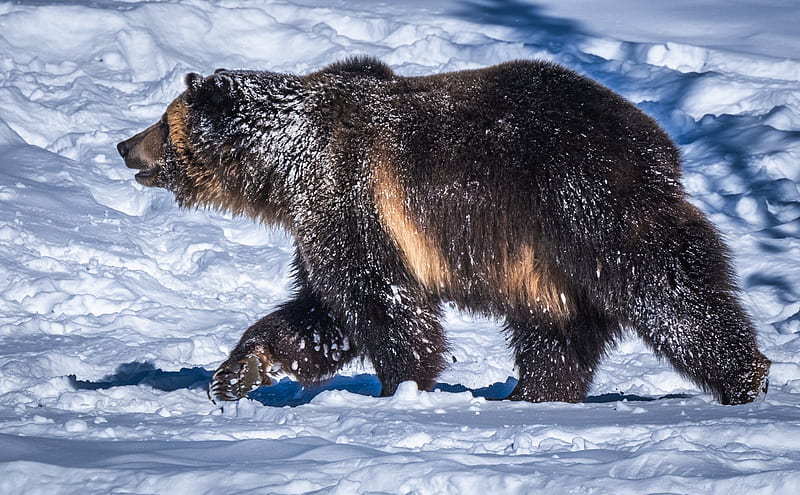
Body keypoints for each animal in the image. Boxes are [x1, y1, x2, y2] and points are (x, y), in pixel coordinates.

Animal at [115, 57, 772, 406]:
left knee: (672, 291)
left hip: (586, 206)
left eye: (163, 122)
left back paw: (745, 376)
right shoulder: (322, 219)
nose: (125, 145)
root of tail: (659, 144)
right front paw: (235, 374)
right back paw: (533, 395)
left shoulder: (352, 197)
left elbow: (378, 301)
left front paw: (402, 388)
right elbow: (320, 312)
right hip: (546, 263)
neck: (286, 163)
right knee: (556, 331)